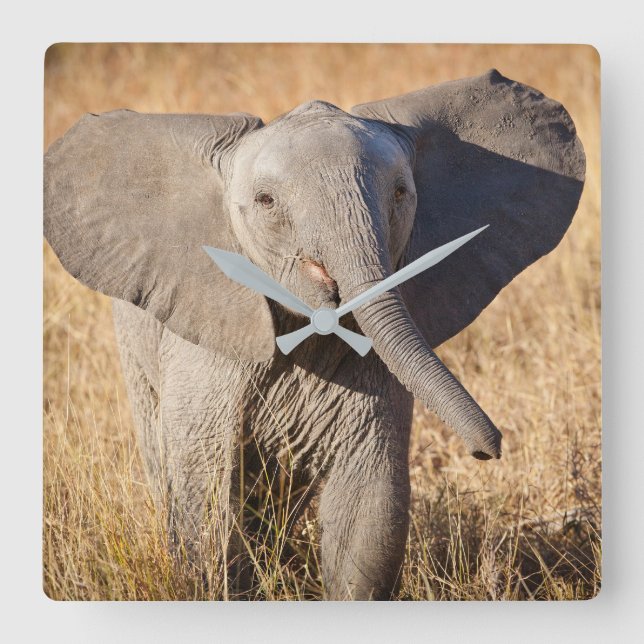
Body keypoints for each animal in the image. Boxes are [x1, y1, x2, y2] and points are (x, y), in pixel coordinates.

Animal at [44, 69, 585, 600]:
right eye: (265, 202)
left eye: (399, 193)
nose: (488, 449)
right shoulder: (206, 346)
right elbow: (207, 498)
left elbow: (368, 508)